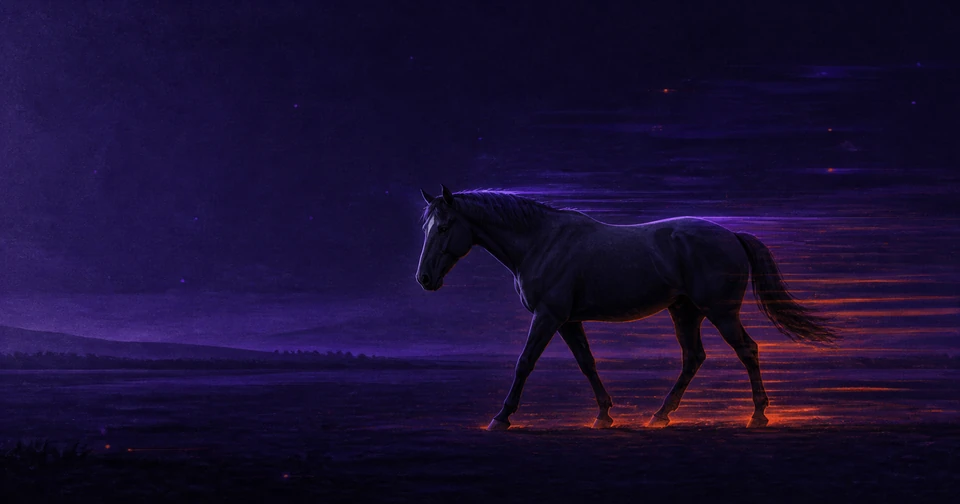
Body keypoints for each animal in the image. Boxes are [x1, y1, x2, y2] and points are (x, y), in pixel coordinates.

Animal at [415, 185, 839, 430]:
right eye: (426, 228)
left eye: (444, 227)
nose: (424, 279)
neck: (540, 242)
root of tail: (732, 235)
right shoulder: (567, 321)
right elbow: (587, 363)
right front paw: (604, 414)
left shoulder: (548, 316)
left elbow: (525, 362)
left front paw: (501, 417)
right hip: (685, 312)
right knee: (693, 358)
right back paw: (661, 414)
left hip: (720, 312)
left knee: (747, 350)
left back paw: (758, 414)